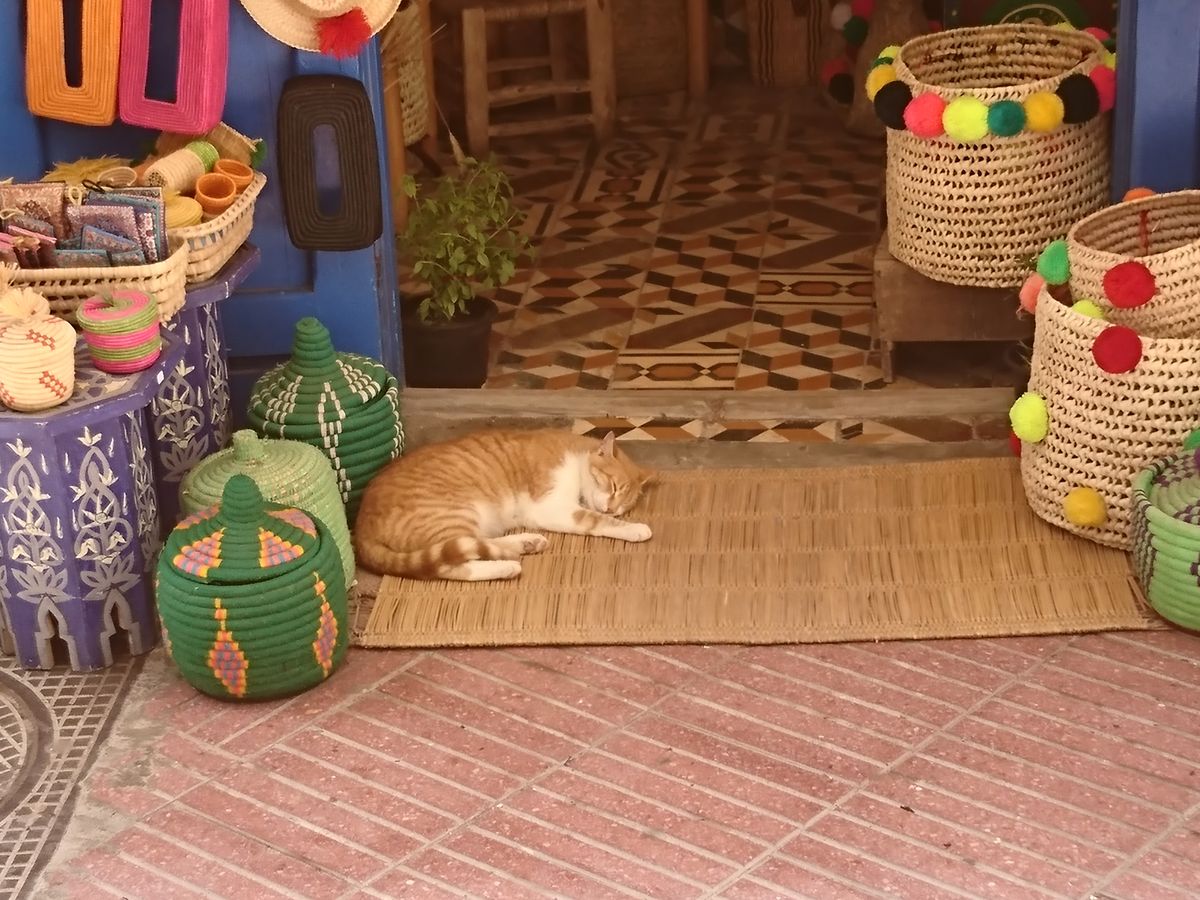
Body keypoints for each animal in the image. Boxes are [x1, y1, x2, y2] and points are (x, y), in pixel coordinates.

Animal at [353, 428, 654, 582]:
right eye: (613, 486)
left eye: (623, 505)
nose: (611, 508)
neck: (575, 455)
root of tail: (361, 525)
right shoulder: (552, 508)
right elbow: (597, 522)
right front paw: (635, 528)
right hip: (456, 515)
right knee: (451, 565)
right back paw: (507, 566)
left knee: (474, 545)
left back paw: (525, 543)